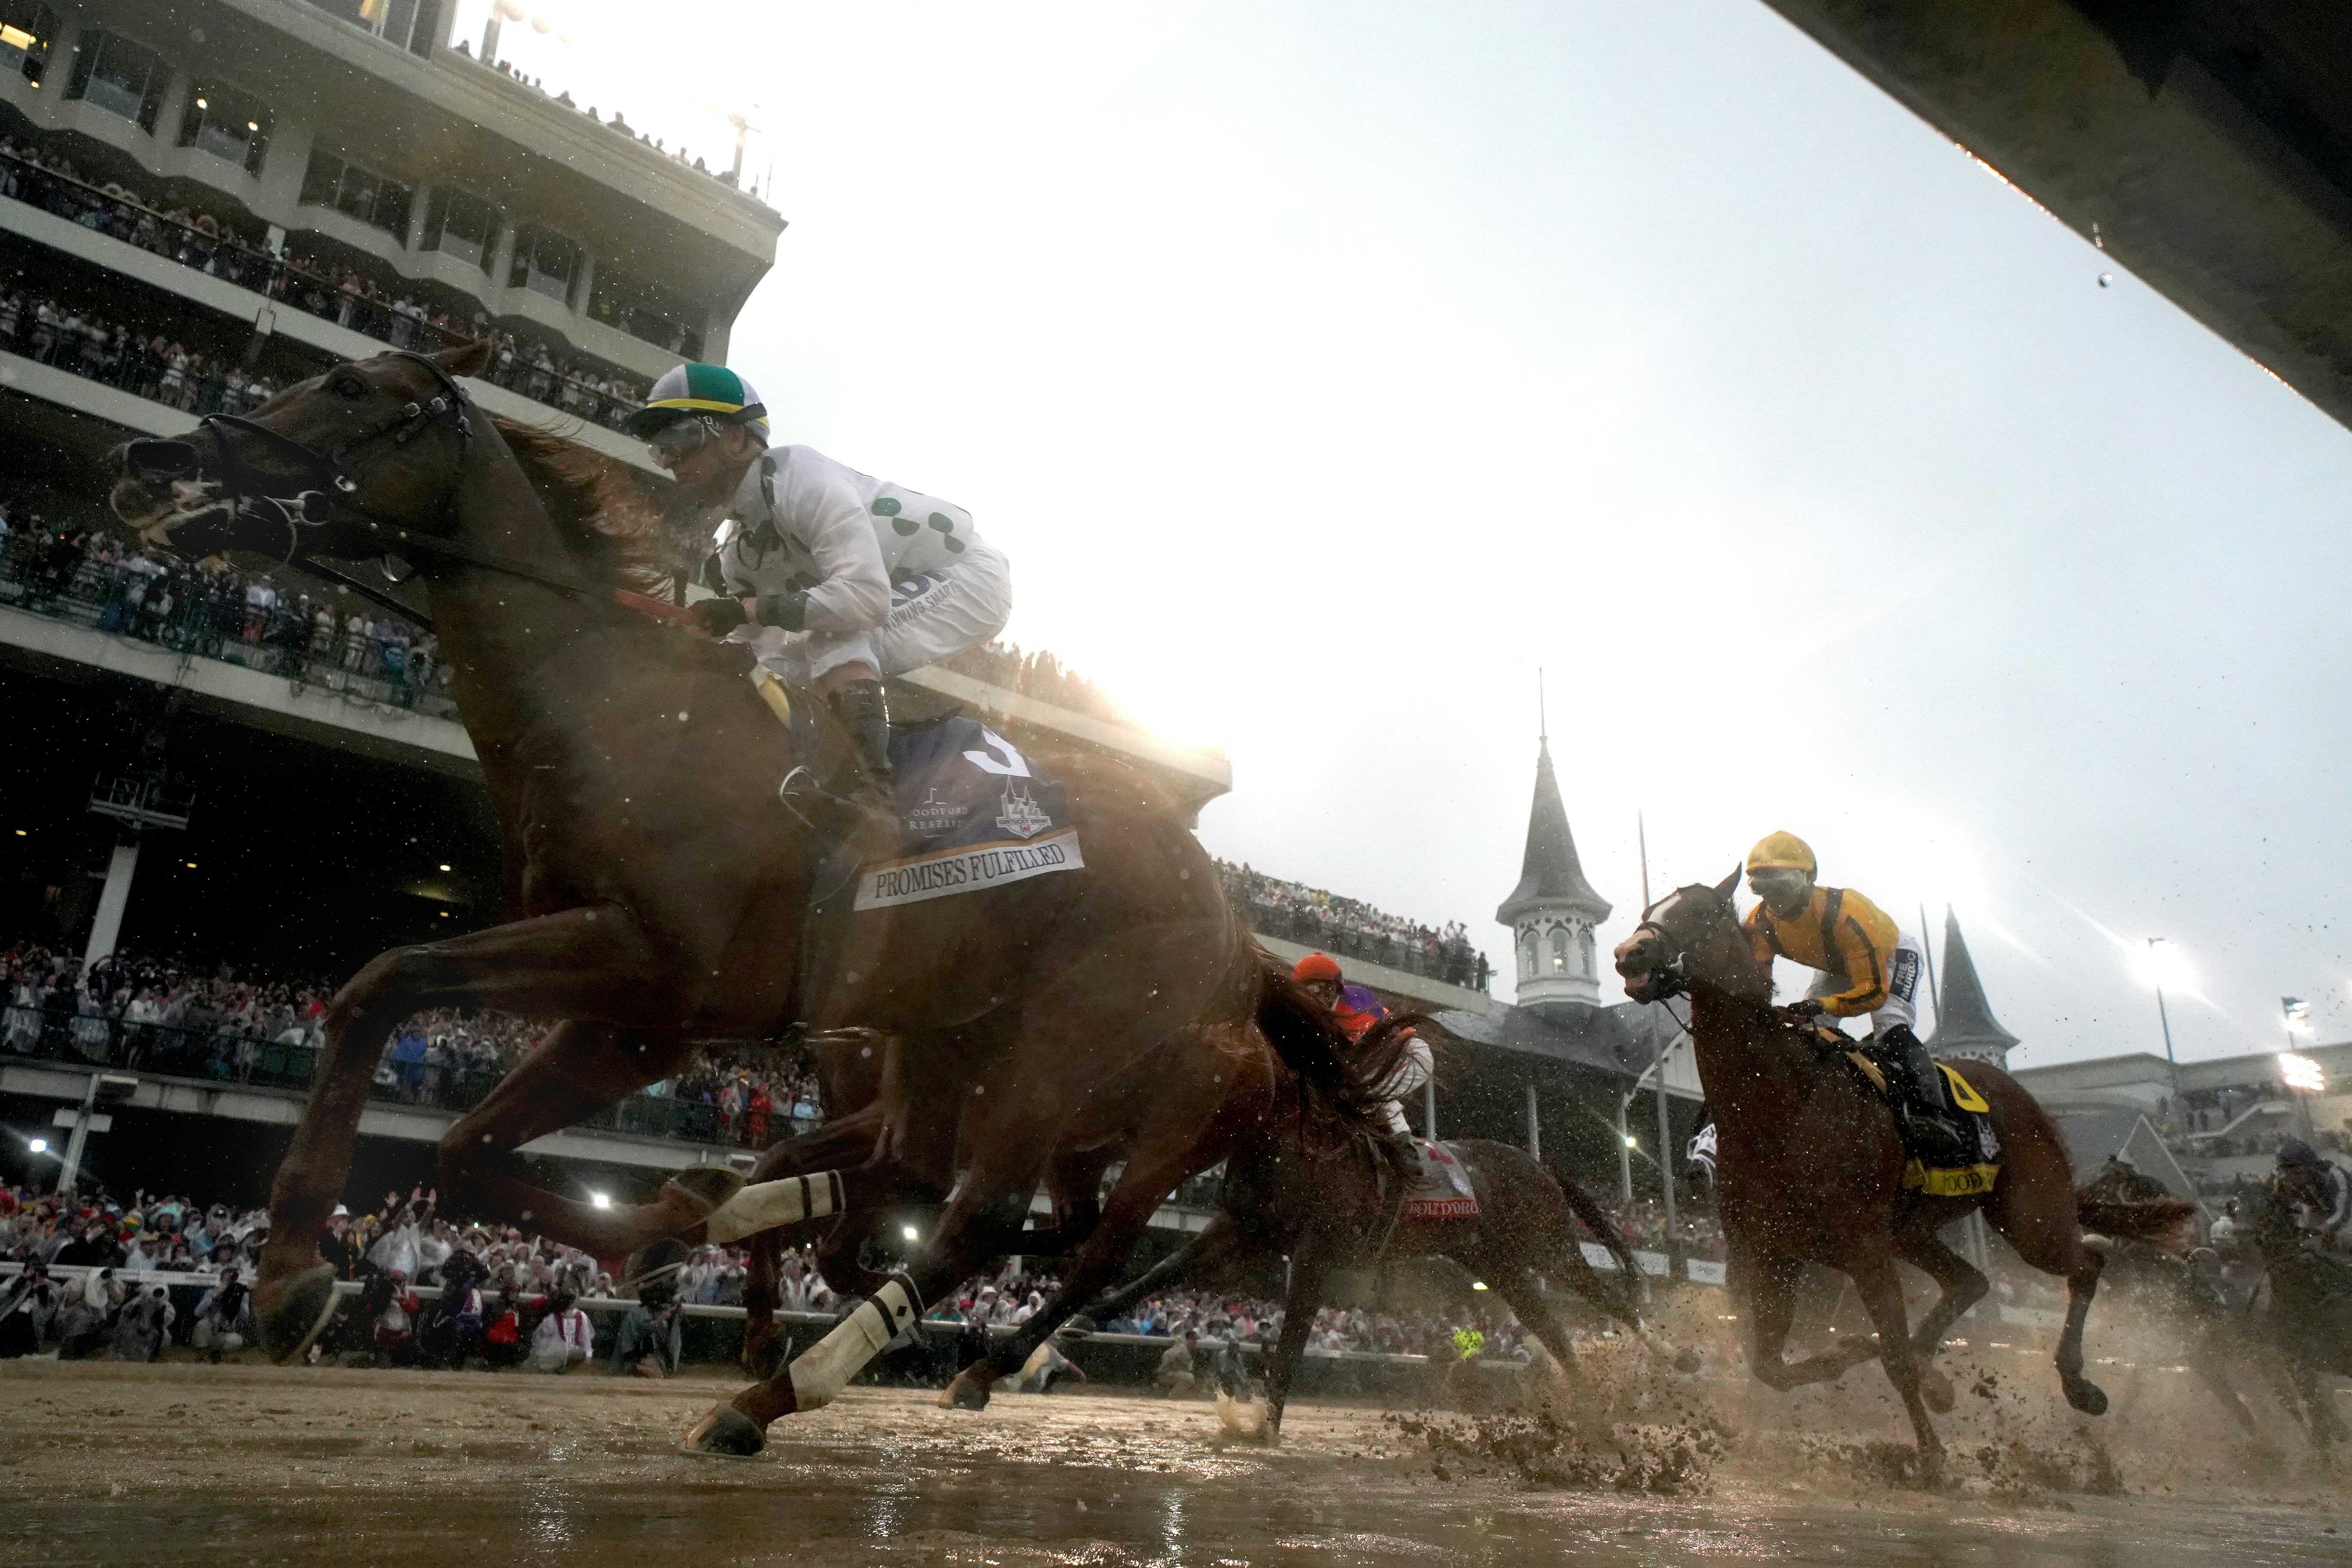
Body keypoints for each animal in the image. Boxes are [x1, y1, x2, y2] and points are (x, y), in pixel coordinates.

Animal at [110, 345, 1392, 1457]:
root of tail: (1230, 922)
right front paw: (674, 1232)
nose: (154, 461)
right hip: (952, 1046)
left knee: (995, 1222)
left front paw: (289, 1275)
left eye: (346, 388)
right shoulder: (636, 1020)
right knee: (938, 1195)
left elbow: (383, 983)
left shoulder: (653, 968)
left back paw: (795, 1389)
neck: (617, 708)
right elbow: (468, 1148)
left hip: (1066, 1059)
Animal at [1608, 884, 2192, 1485]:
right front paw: (1872, 1362)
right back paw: (1940, 1375)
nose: (1630, 953)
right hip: (1912, 1230)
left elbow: (1888, 1355)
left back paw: (2079, 1385)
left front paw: (1932, 1455)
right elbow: (1771, 1364)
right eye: (1649, 913)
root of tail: (2020, 1095)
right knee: (1971, 1282)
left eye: (1697, 913)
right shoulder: (1771, 1253)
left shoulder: (1864, 1252)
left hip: (2031, 1220)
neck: (1781, 1106)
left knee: (2086, 1263)